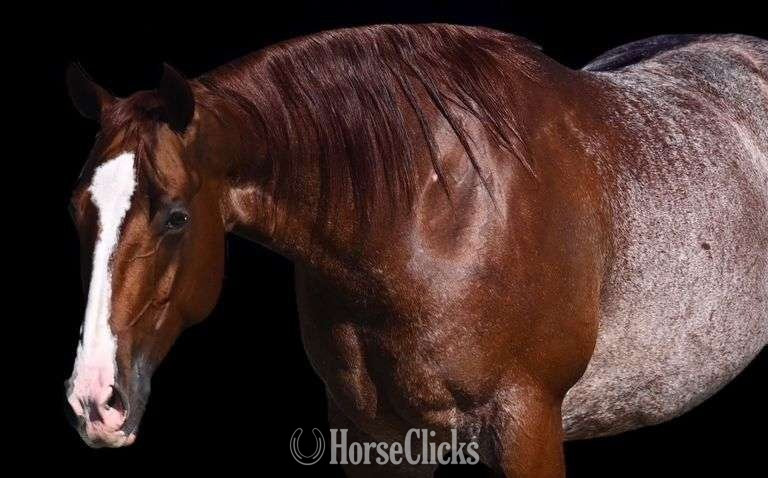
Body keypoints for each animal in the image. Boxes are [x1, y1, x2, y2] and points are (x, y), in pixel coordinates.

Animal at [64, 24, 767, 477]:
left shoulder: (529, 428)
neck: (435, 216)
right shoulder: (371, 435)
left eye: (176, 217)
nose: (95, 400)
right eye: (77, 212)